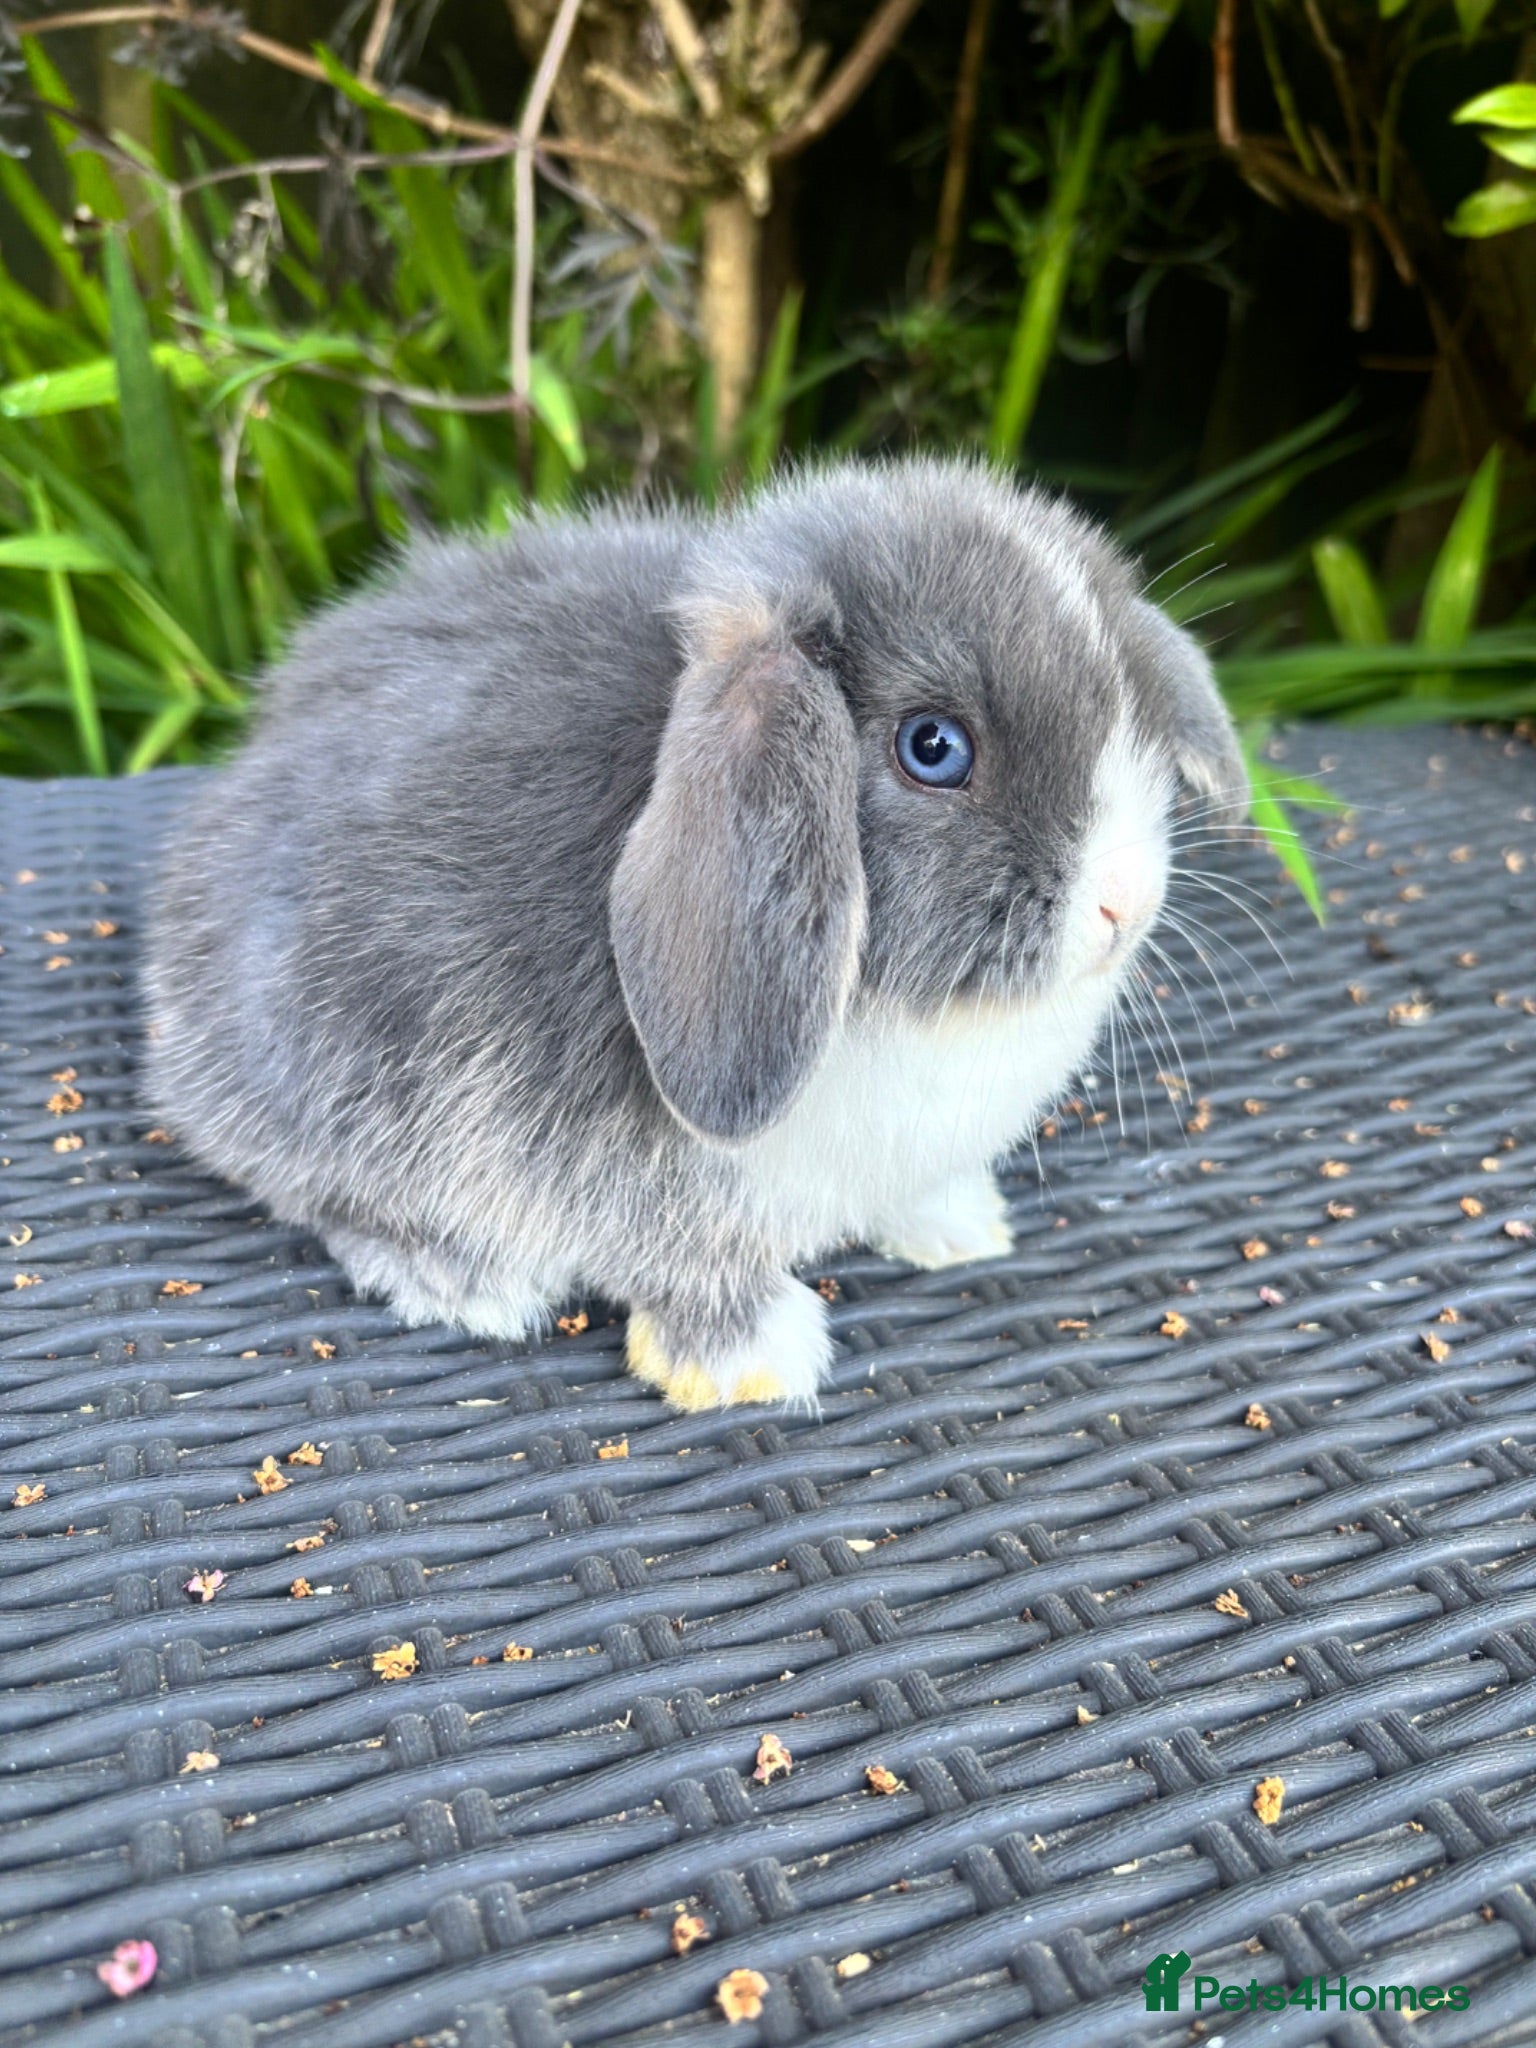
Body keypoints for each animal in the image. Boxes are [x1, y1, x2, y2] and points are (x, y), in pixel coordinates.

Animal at [142, 456, 1247, 1411]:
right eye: (933, 747)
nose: (1125, 899)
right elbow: (687, 1266)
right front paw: (750, 1359)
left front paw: (961, 1226)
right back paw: (467, 1281)